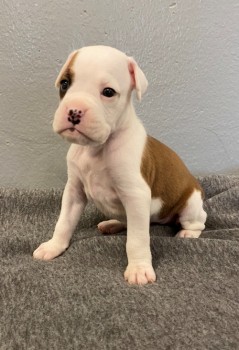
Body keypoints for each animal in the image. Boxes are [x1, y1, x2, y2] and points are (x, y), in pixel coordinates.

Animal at [32, 45, 206, 284]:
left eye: (108, 92)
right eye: (65, 84)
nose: (74, 111)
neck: (96, 149)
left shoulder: (136, 195)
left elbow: (137, 239)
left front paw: (139, 268)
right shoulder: (74, 191)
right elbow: (64, 222)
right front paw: (54, 246)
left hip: (190, 204)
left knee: (198, 221)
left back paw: (188, 232)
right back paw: (112, 223)